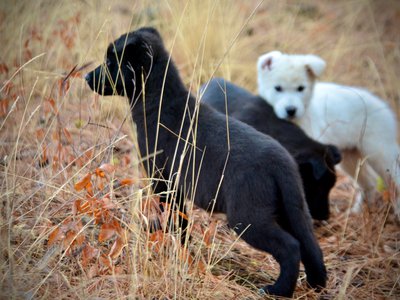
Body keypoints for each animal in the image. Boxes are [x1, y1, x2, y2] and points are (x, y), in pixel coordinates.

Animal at [86, 26, 326, 298]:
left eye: (111, 63)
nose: (86, 77)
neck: (160, 102)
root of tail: (282, 163)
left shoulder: (163, 178)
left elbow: (174, 218)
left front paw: (173, 246)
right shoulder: (176, 184)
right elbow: (181, 220)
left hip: (248, 216)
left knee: (290, 246)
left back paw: (277, 290)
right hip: (292, 208)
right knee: (310, 244)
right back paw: (315, 283)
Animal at [258, 50, 398, 217]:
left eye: (301, 88)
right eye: (277, 88)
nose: (291, 110)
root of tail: (383, 106)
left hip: (380, 152)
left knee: (394, 181)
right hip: (350, 158)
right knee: (369, 182)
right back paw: (359, 211)